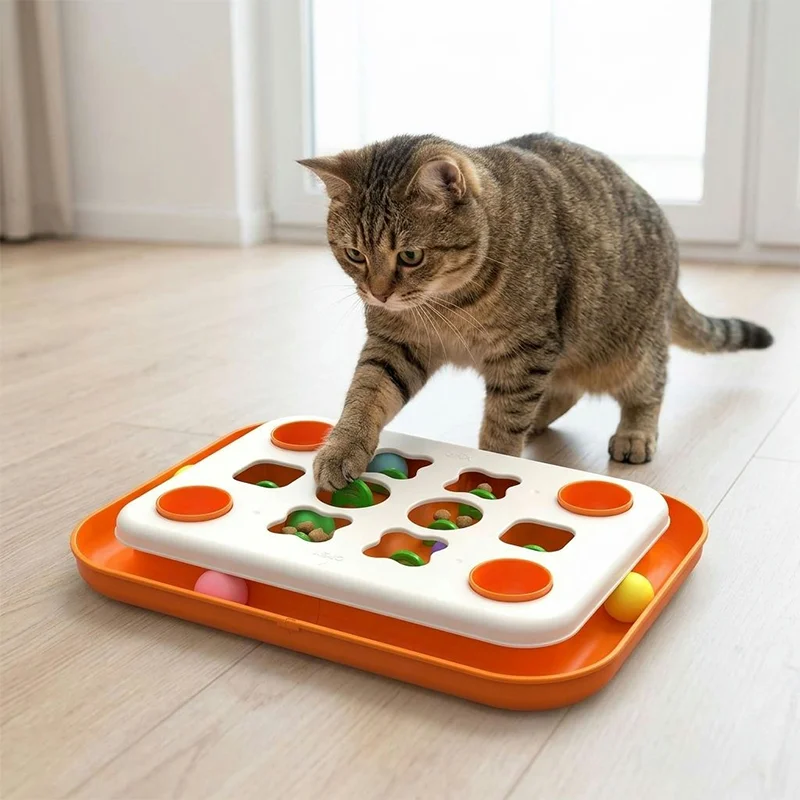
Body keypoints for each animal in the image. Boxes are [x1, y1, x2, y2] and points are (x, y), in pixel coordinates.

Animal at [300, 133, 773, 491]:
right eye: (354, 254)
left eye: (411, 256)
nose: (378, 294)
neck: (448, 301)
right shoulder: (394, 343)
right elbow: (366, 394)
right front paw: (342, 447)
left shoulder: (527, 349)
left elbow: (503, 423)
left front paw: (491, 469)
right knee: (565, 389)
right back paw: (541, 419)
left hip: (630, 351)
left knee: (649, 387)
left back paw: (634, 433)